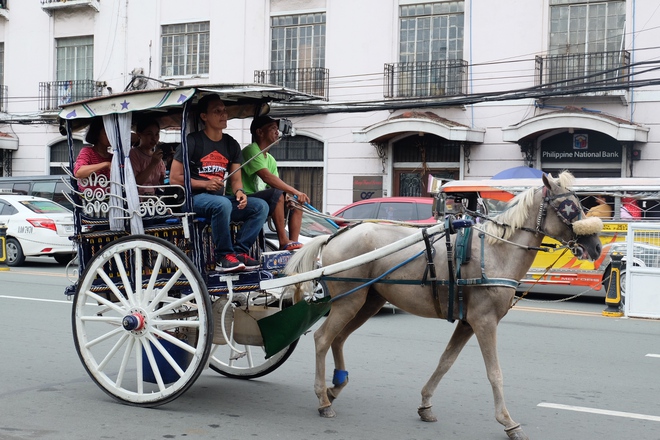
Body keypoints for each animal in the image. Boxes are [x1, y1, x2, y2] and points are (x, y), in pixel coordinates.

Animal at [284, 172, 604, 440]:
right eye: (570, 207)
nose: (597, 247)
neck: (497, 252)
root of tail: (334, 235)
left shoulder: (467, 323)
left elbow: (445, 361)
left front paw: (425, 403)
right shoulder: (484, 322)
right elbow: (495, 373)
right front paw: (508, 421)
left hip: (368, 301)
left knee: (338, 339)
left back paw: (335, 386)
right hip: (349, 300)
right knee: (323, 338)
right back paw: (323, 399)